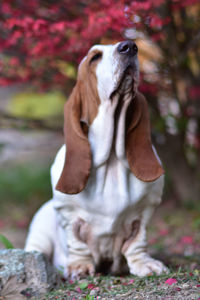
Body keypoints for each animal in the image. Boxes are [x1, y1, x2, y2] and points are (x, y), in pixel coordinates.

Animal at [25, 40, 169, 278]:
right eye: (95, 57)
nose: (130, 46)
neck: (111, 159)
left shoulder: (145, 210)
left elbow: (138, 241)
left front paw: (145, 264)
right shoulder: (68, 214)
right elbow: (77, 243)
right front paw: (80, 266)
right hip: (39, 230)